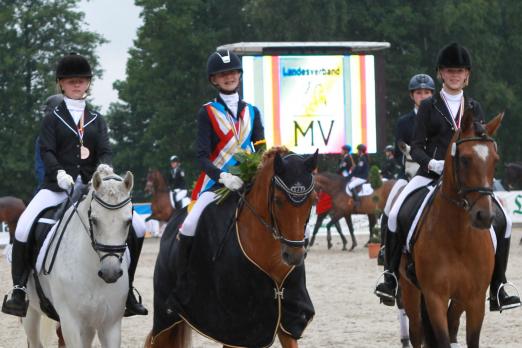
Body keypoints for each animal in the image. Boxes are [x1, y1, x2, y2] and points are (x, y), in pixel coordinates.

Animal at [23, 170, 132, 346]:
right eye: (94, 220)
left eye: (128, 221)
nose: (111, 273)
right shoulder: (71, 323)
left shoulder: (111, 325)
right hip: (31, 311)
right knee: (34, 341)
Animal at [146, 147, 316, 348]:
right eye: (277, 200)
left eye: (313, 200)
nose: (294, 255)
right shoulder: (235, 328)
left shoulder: (286, 318)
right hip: (166, 314)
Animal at [398, 110, 500, 346]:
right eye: (465, 159)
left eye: (495, 160)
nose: (484, 217)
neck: (459, 237)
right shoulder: (435, 296)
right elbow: (442, 339)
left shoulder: (474, 298)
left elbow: (468, 338)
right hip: (409, 289)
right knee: (416, 331)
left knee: (452, 324)